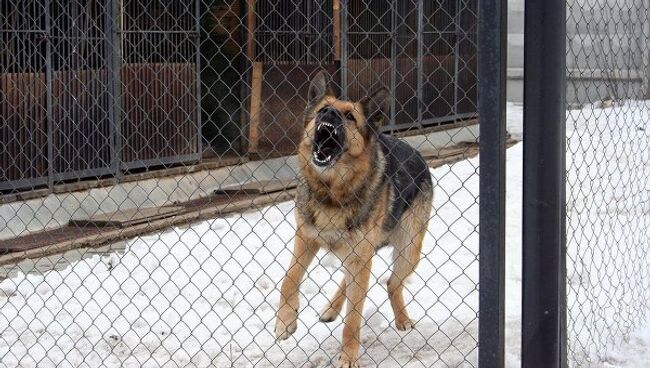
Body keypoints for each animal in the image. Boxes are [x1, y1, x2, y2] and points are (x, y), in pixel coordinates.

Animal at [274, 70, 432, 366]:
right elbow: (289, 278)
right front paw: (286, 321)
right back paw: (330, 309)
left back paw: (402, 319)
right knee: (354, 280)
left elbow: (353, 319)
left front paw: (348, 357)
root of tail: (418, 154)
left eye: (349, 116)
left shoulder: (360, 257)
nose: (330, 114)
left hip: (407, 250)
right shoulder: (306, 239)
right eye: (323, 109)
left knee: (391, 283)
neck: (332, 193)